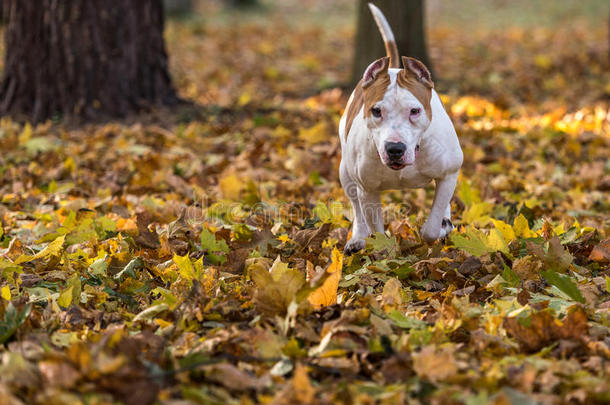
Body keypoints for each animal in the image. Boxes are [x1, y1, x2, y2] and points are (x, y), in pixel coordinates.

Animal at [338, 3, 460, 254]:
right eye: (376, 111)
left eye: (414, 111)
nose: (395, 148)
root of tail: (393, 66)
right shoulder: (368, 189)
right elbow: (375, 229)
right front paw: (385, 253)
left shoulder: (450, 172)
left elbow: (431, 226)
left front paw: (441, 226)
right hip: (345, 172)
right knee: (356, 206)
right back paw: (357, 238)